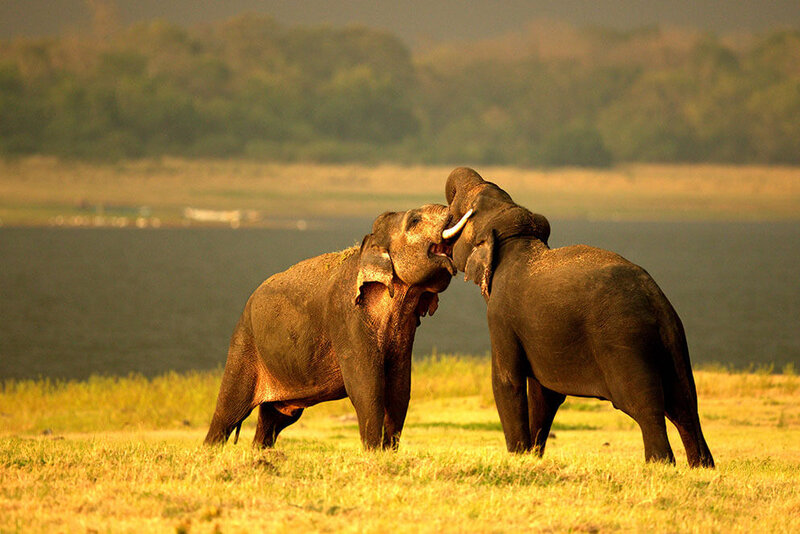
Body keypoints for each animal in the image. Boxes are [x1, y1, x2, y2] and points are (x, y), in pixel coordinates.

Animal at [204, 203, 462, 450]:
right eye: (415, 220)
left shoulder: (406, 330)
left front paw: (389, 453)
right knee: (229, 410)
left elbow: (400, 389)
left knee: (275, 417)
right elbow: (366, 387)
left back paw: (261, 453)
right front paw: (374, 453)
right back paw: (211, 452)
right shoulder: (348, 317)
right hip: (243, 344)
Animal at [441, 167, 714, 467]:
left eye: (468, 208)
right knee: (685, 404)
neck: (520, 243)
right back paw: (702, 466)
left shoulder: (500, 316)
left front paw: (518, 457)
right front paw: (534, 456)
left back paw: (660, 463)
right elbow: (545, 394)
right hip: (674, 343)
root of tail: (657, 301)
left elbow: (506, 381)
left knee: (645, 406)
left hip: (625, 344)